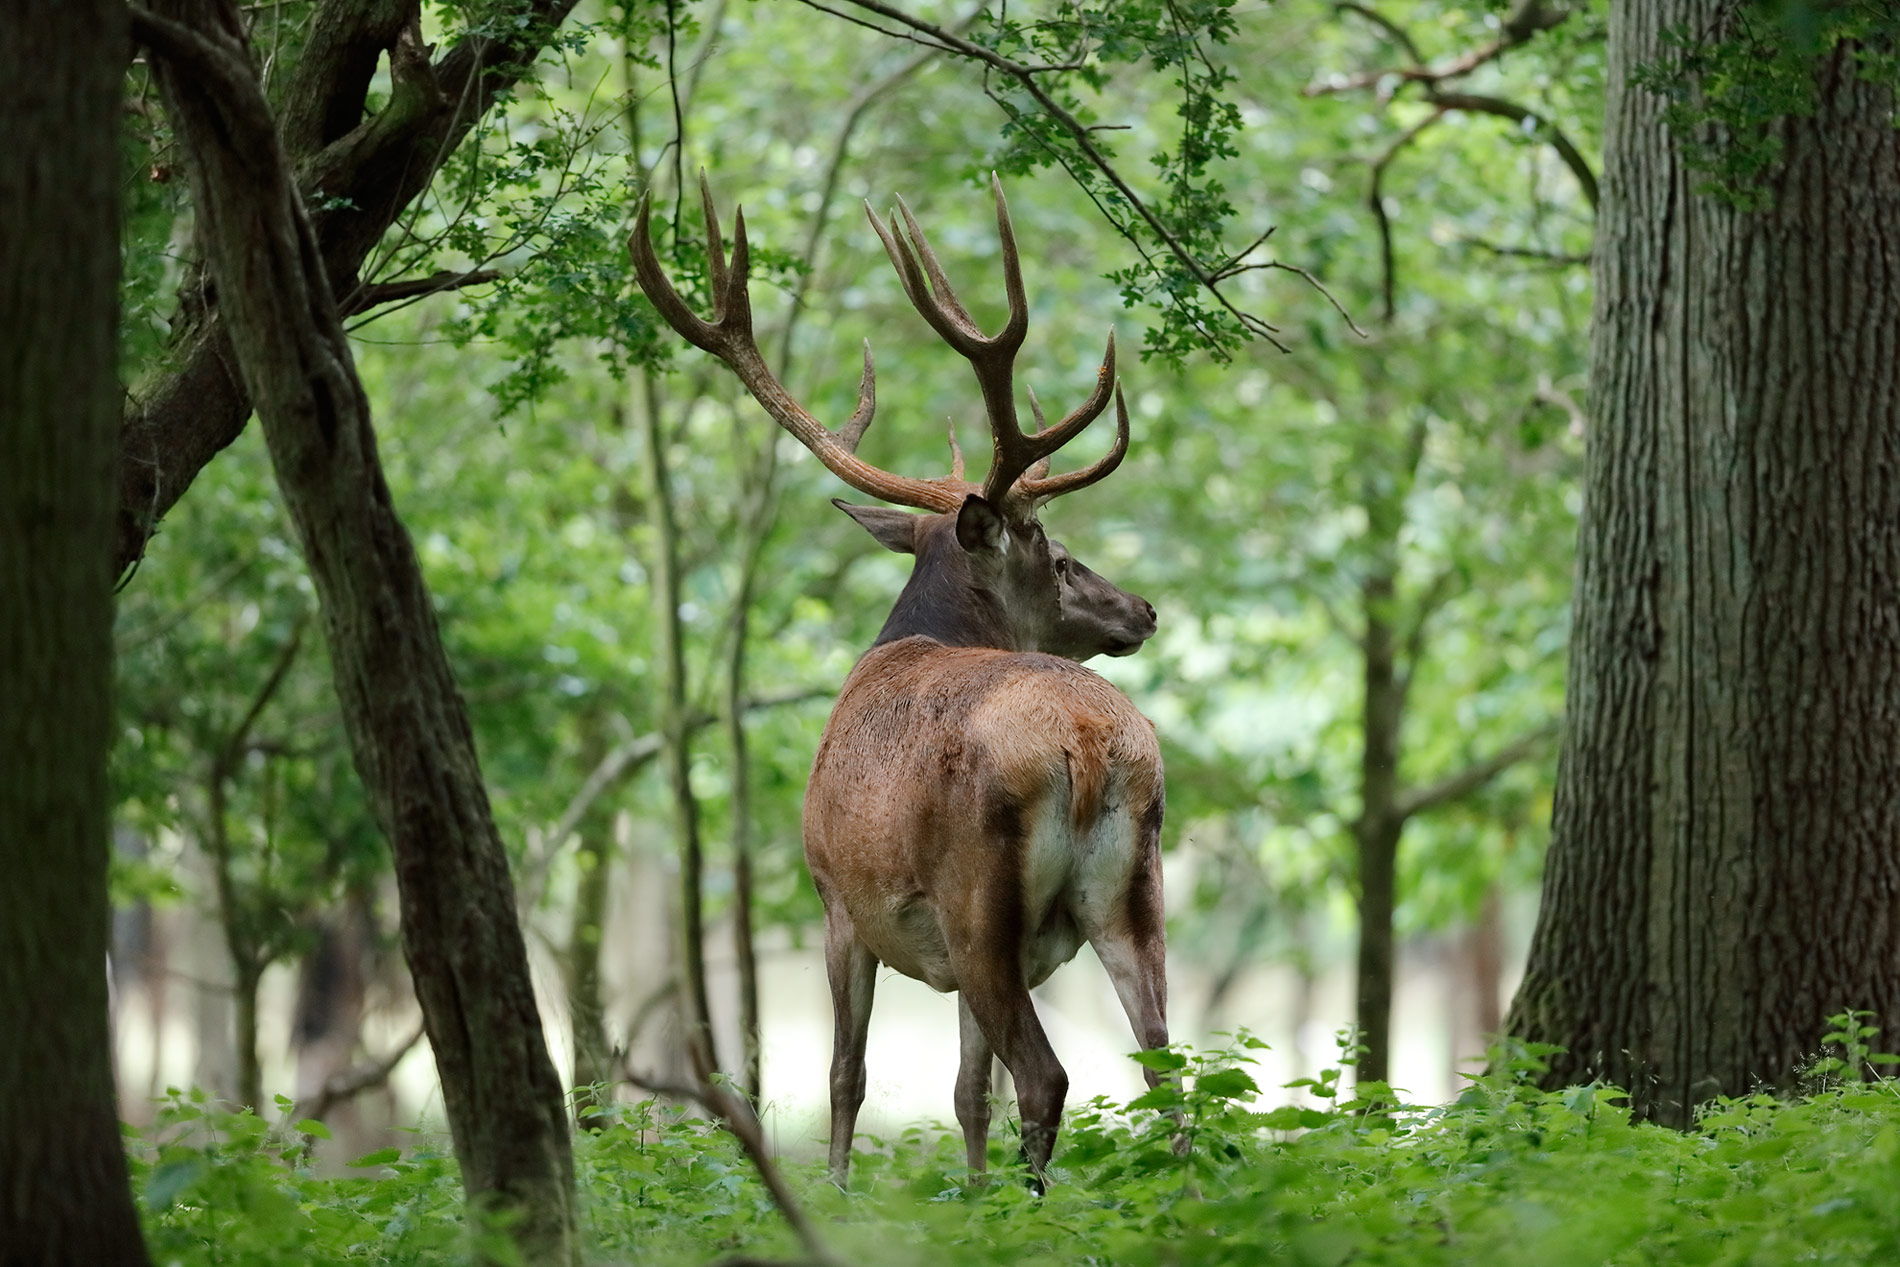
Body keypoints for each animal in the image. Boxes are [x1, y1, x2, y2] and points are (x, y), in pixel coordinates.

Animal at [629, 174, 1169, 1188]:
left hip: (977, 900)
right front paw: (968, 1192)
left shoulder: (838, 897)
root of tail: (1090, 746)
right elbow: (964, 1093)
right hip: (1133, 890)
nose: (1143, 609)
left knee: (1048, 1077)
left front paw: (837, 1192)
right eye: (1059, 555)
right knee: (1170, 1066)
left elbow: (848, 1074)